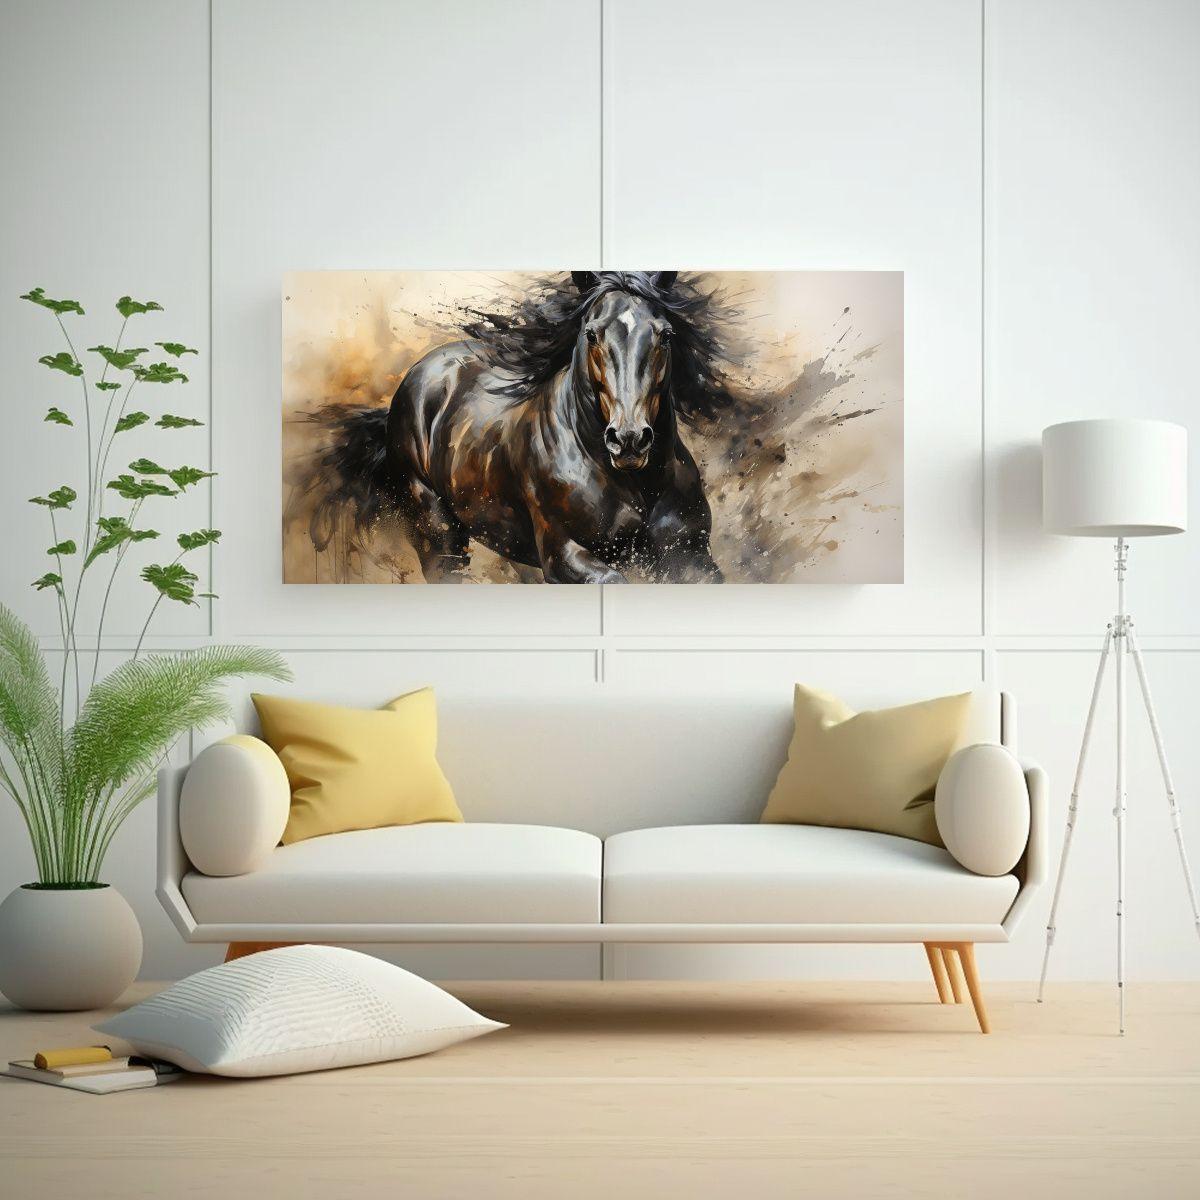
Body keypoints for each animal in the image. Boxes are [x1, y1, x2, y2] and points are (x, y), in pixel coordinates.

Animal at [308, 271, 735, 583]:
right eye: (592, 333)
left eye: (665, 334)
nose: (629, 440)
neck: (632, 485)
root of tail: (421, 373)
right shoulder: (564, 555)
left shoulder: (690, 556)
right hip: (439, 535)